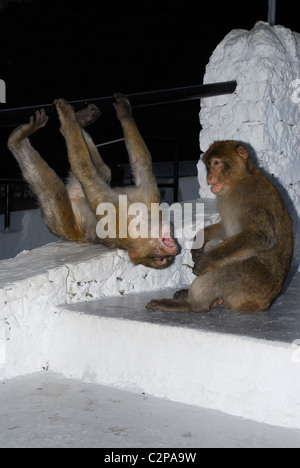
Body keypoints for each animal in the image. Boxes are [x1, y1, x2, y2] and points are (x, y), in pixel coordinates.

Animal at [7, 94, 178, 266]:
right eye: (161, 258)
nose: (172, 251)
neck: (141, 220)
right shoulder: (146, 202)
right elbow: (141, 162)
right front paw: (124, 113)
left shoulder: (118, 218)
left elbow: (84, 172)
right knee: (102, 170)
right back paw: (78, 120)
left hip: (64, 224)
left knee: (59, 190)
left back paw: (18, 140)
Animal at [147, 141, 292, 312]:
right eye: (209, 164)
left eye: (217, 163)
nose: (209, 176)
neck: (238, 181)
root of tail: (265, 303)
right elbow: (225, 229)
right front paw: (198, 243)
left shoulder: (250, 195)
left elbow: (261, 236)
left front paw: (204, 261)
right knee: (215, 246)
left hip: (251, 285)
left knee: (227, 265)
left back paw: (193, 303)